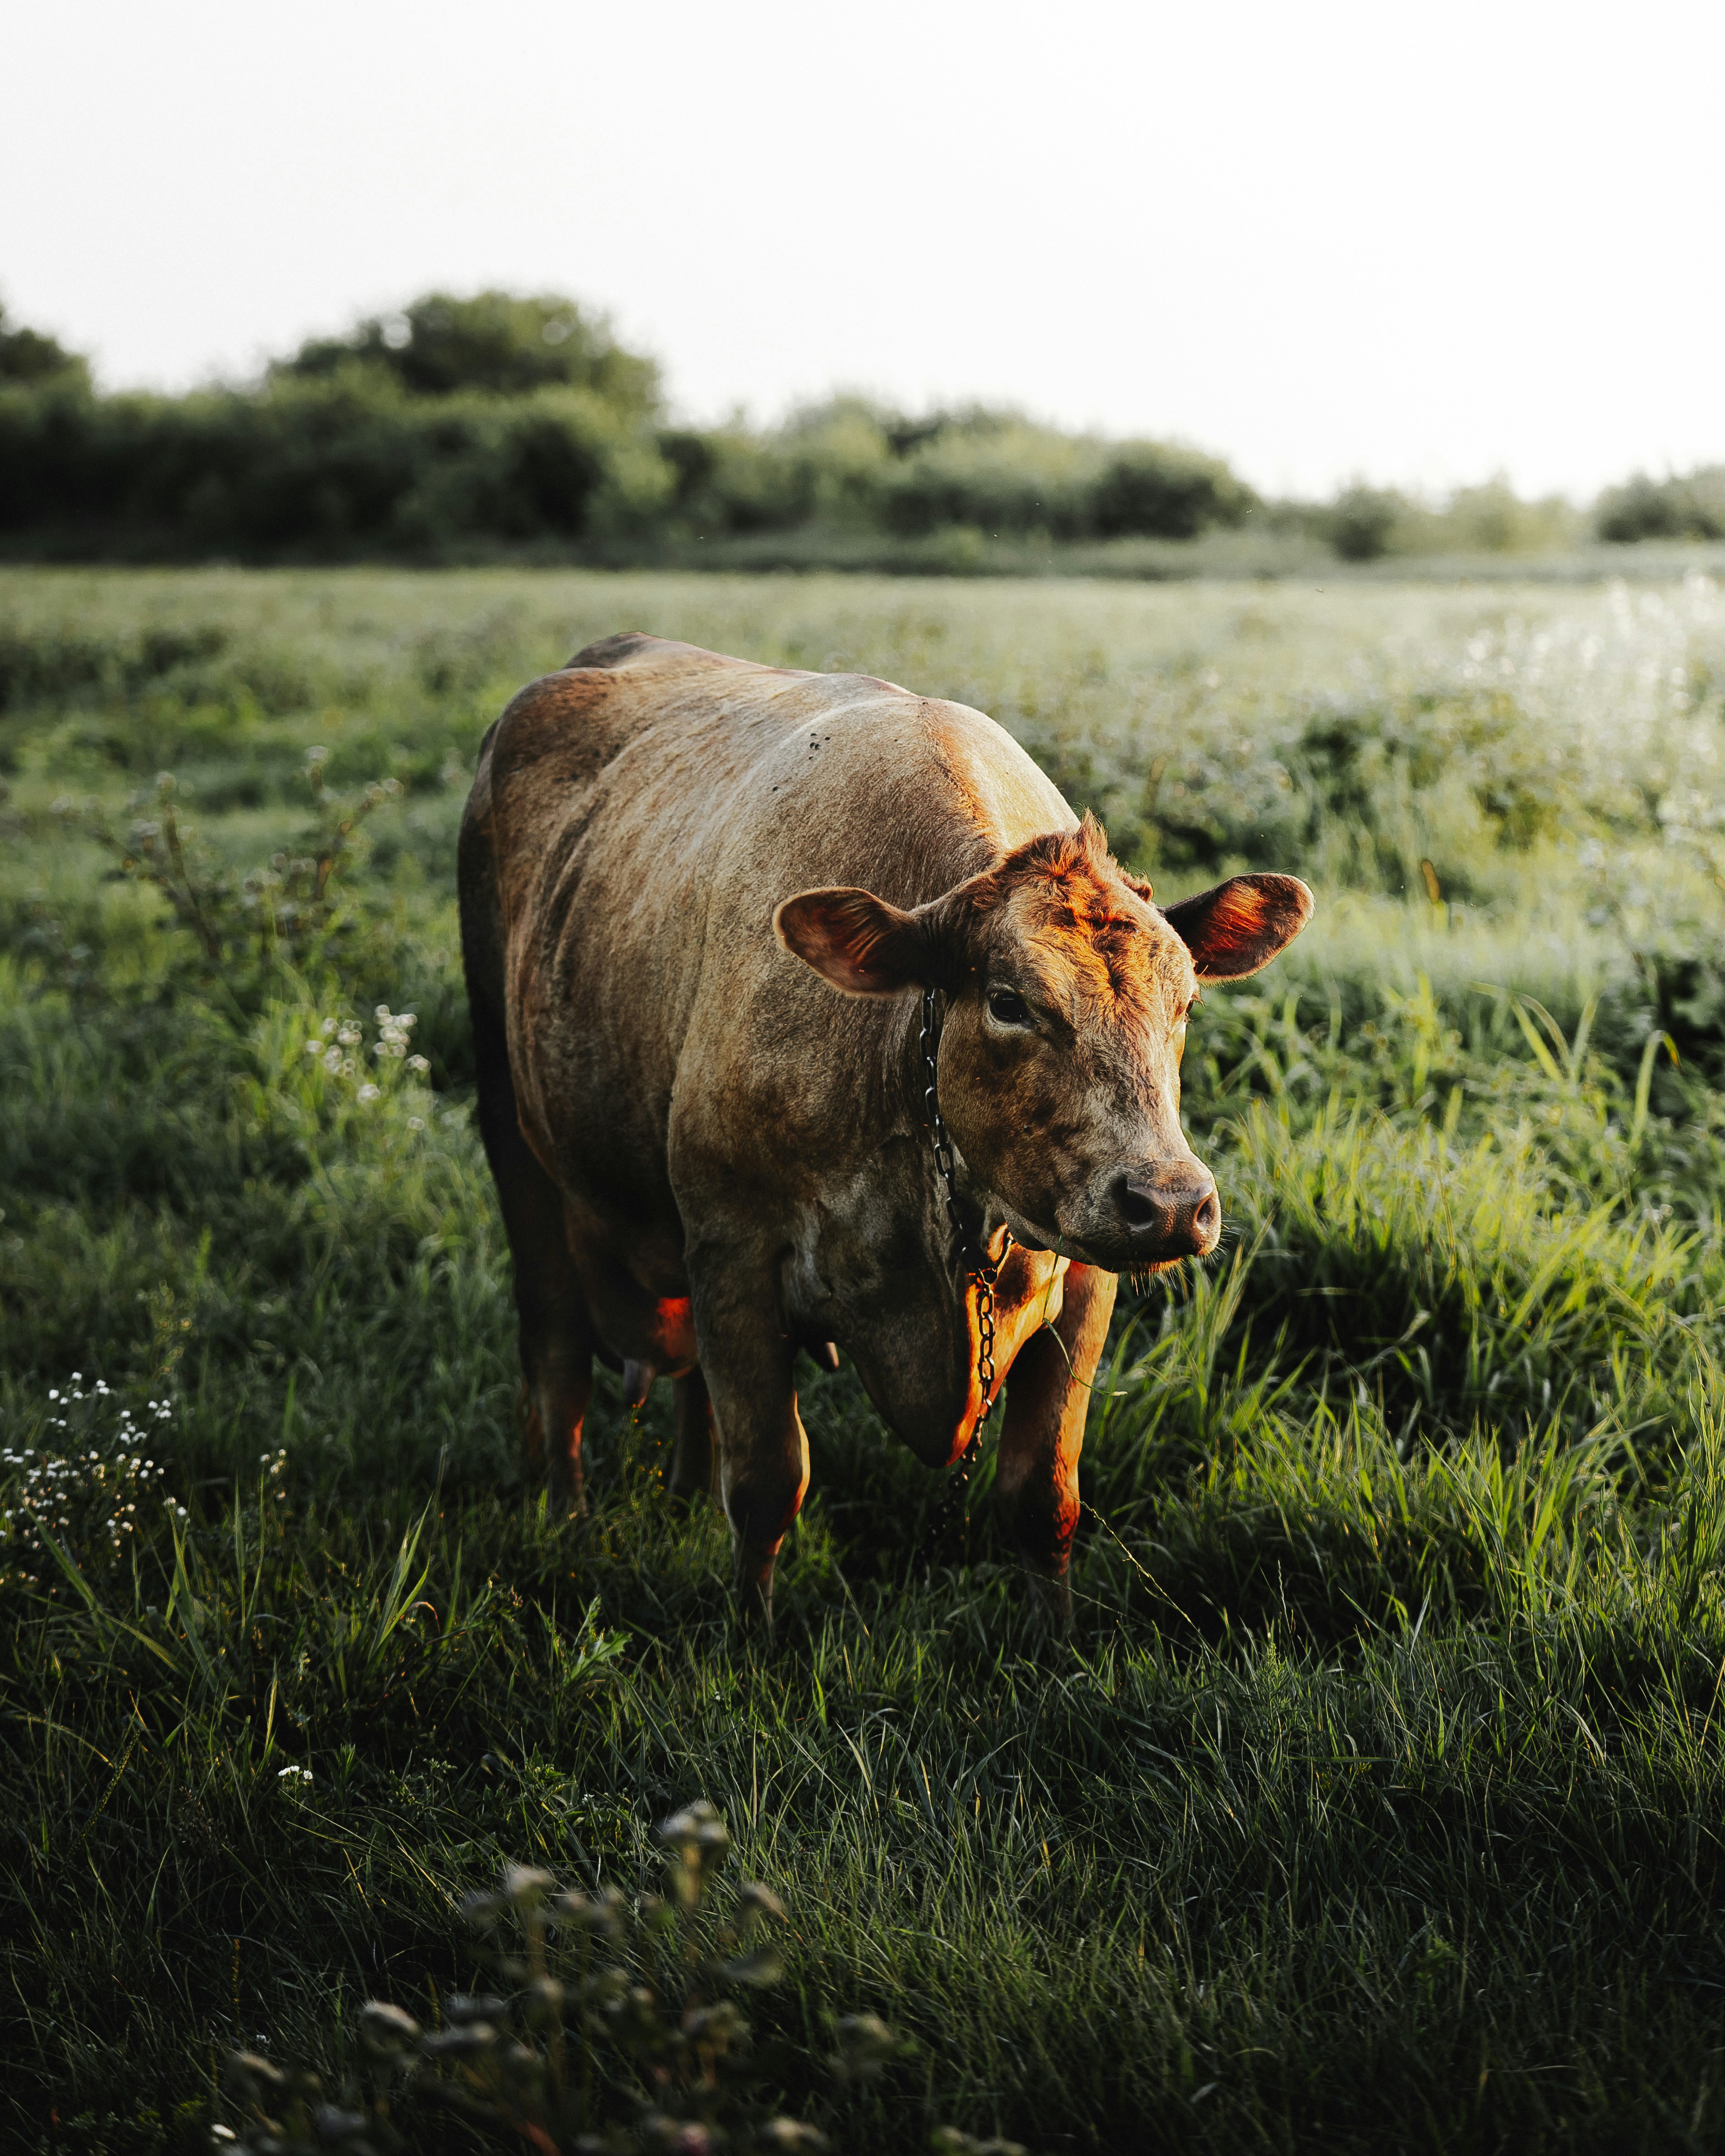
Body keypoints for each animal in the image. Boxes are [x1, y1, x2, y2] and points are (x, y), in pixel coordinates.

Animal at [458, 633, 1312, 1629]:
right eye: (1009, 1001)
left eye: (1184, 1004)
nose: (1171, 1203)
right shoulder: (735, 1247)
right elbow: (767, 1483)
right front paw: (749, 1643)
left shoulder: (1086, 1274)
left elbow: (1043, 1494)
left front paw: (1056, 1645)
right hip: (509, 1119)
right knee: (554, 1341)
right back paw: (565, 1518)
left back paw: (682, 1492)